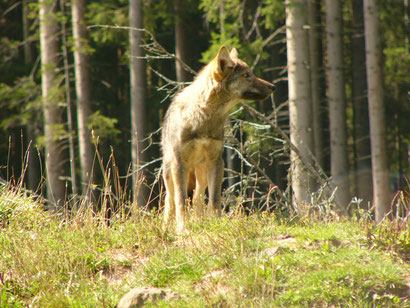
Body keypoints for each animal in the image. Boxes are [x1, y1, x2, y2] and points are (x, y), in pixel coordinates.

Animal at [161, 46, 276, 233]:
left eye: (251, 73)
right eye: (247, 75)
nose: (273, 87)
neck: (204, 116)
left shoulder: (217, 162)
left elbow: (214, 201)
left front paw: (216, 225)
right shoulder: (180, 164)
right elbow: (181, 201)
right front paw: (183, 229)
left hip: (201, 174)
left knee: (198, 198)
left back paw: (199, 223)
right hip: (170, 172)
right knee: (170, 200)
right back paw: (167, 228)